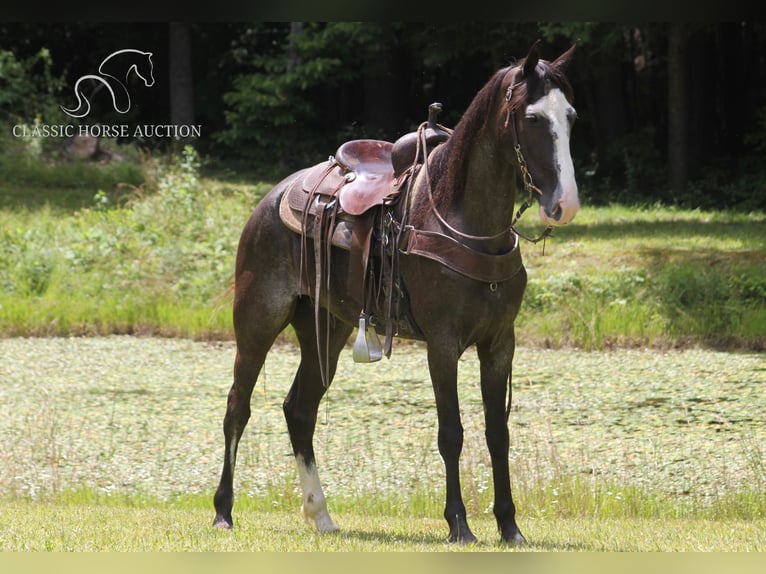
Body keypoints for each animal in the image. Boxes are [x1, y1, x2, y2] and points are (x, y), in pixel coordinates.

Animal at [213, 42, 580, 548]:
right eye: (532, 118)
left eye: (570, 116)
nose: (565, 203)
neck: (463, 218)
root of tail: (273, 197)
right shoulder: (442, 344)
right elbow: (452, 432)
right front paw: (459, 525)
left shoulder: (500, 343)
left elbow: (497, 433)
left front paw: (510, 527)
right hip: (257, 320)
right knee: (238, 408)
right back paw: (223, 512)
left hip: (328, 329)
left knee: (300, 410)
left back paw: (321, 515)